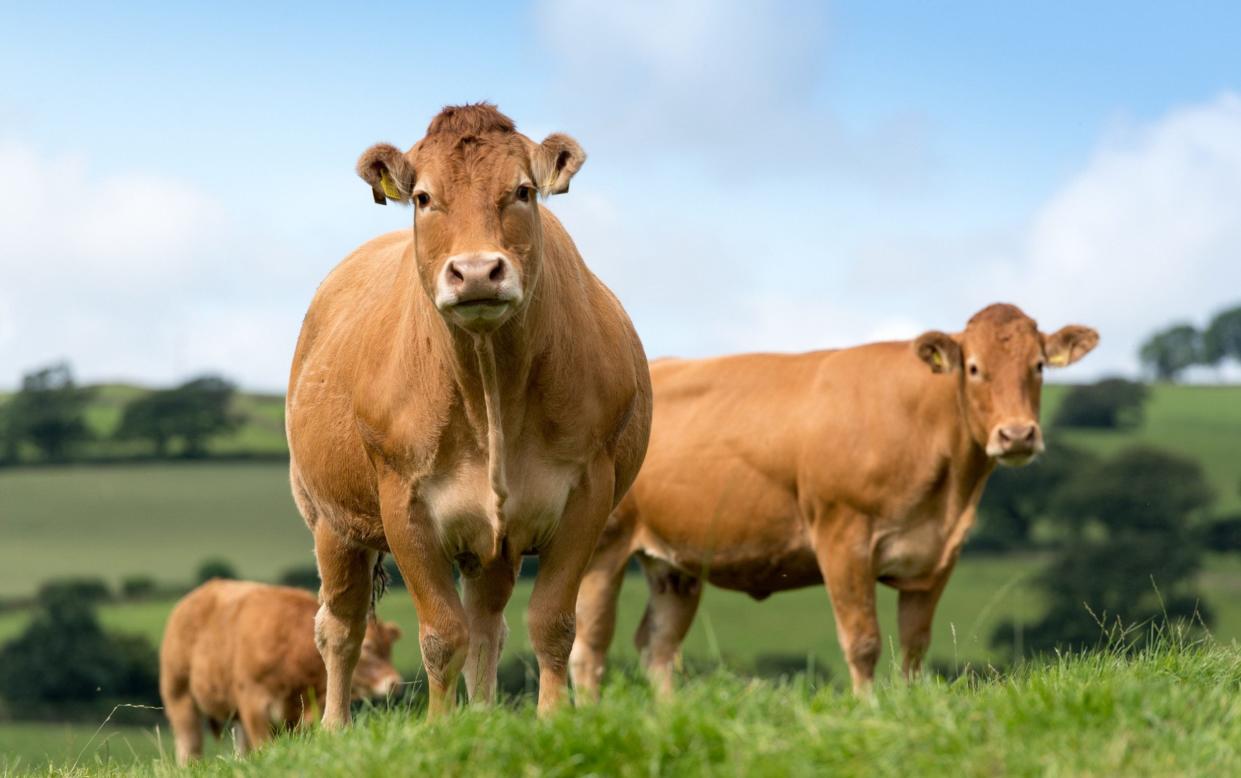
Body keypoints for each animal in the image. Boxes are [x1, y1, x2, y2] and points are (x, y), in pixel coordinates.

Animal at [155, 580, 397, 764]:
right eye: (367, 647)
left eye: (389, 649)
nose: (394, 681)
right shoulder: (254, 705)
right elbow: (262, 746)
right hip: (179, 697)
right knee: (189, 745)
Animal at [282, 101, 650, 724]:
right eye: (424, 197)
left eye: (522, 191)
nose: (477, 271)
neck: (489, 391)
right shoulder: (403, 504)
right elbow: (440, 635)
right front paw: (437, 727)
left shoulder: (587, 495)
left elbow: (550, 625)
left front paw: (551, 721)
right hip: (330, 520)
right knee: (340, 627)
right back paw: (334, 727)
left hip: (494, 541)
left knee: (487, 626)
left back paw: (481, 715)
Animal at [568, 302, 1097, 694]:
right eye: (973, 368)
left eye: (1039, 366)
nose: (1017, 435)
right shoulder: (843, 537)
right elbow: (862, 642)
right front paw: (869, 710)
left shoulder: (936, 557)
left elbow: (915, 646)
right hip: (603, 547)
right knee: (589, 648)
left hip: (674, 563)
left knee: (656, 645)